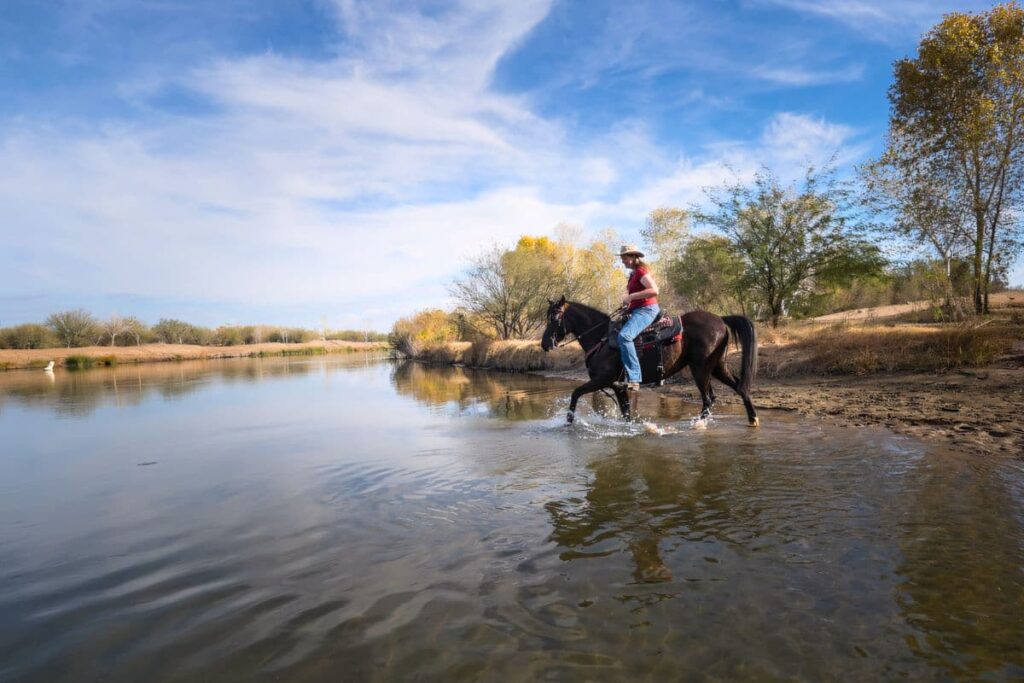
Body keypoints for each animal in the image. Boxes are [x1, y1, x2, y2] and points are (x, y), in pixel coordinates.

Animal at [540, 299, 757, 428]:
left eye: (555, 317)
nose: (544, 343)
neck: (602, 338)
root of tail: (720, 319)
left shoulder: (603, 379)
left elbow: (576, 393)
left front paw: (569, 421)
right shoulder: (618, 386)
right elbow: (626, 412)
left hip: (701, 369)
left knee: (708, 398)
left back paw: (697, 424)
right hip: (718, 366)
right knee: (739, 387)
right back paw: (753, 419)